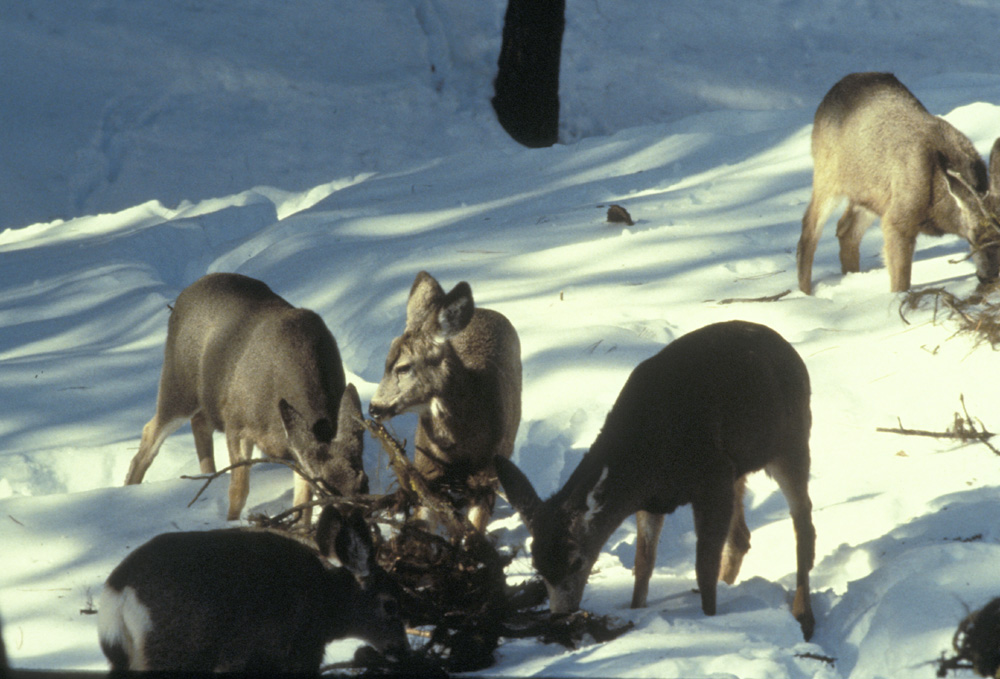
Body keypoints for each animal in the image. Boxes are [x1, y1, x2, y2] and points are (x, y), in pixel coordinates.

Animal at [97, 506, 410, 673]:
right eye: (390, 604)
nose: (402, 650)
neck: (325, 603)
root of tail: (119, 593)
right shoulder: (295, 649)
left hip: (125, 658)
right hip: (177, 652)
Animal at [124, 273, 368, 524]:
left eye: (364, 480)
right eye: (324, 488)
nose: (354, 517)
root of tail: (187, 291)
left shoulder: (297, 445)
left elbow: (302, 502)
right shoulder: (237, 422)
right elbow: (239, 489)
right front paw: (231, 522)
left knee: (199, 422)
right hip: (179, 383)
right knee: (152, 430)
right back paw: (129, 487)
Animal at [369, 271, 522, 532]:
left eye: (403, 367)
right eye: (385, 362)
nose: (373, 407)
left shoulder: (486, 474)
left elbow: (474, 529)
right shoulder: (426, 472)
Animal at [495, 320, 817, 640]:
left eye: (577, 561)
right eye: (537, 564)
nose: (561, 615)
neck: (648, 459)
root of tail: (790, 351)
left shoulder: (711, 478)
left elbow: (703, 566)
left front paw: (709, 620)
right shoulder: (653, 500)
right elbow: (643, 563)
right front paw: (637, 609)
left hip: (790, 442)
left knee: (803, 524)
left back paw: (804, 616)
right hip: (739, 467)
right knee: (742, 536)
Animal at [797, 72, 1000, 294]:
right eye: (973, 238)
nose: (989, 277)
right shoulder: (898, 219)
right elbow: (900, 282)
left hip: (871, 194)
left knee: (845, 229)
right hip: (827, 176)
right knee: (809, 229)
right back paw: (805, 292)